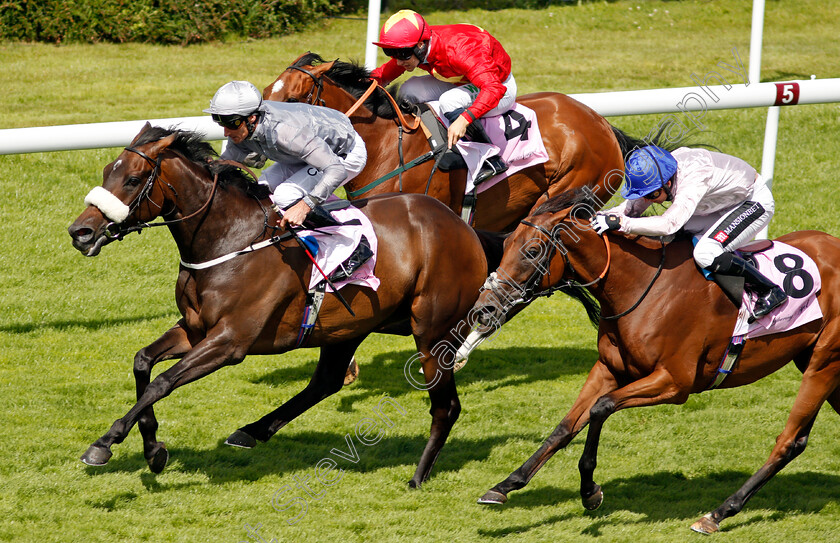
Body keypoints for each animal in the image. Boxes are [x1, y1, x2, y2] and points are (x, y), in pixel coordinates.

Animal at [69, 124, 502, 488]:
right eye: (107, 170)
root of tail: (464, 228)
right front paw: (153, 449)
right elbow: (143, 362)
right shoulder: (194, 330)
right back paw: (251, 431)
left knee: (446, 406)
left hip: (431, 331)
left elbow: (162, 382)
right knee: (326, 382)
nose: (80, 231)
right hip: (349, 326)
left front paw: (105, 444)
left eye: (132, 179)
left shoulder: (230, 341)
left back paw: (419, 475)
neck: (229, 241)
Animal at [462, 188, 840, 536]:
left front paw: (590, 492)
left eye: (533, 250)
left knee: (788, 441)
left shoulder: (674, 383)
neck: (641, 286)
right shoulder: (608, 369)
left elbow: (601, 408)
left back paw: (717, 513)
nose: (484, 308)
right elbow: (565, 427)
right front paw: (505, 485)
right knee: (799, 441)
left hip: (824, 363)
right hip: (819, 367)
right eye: (506, 244)